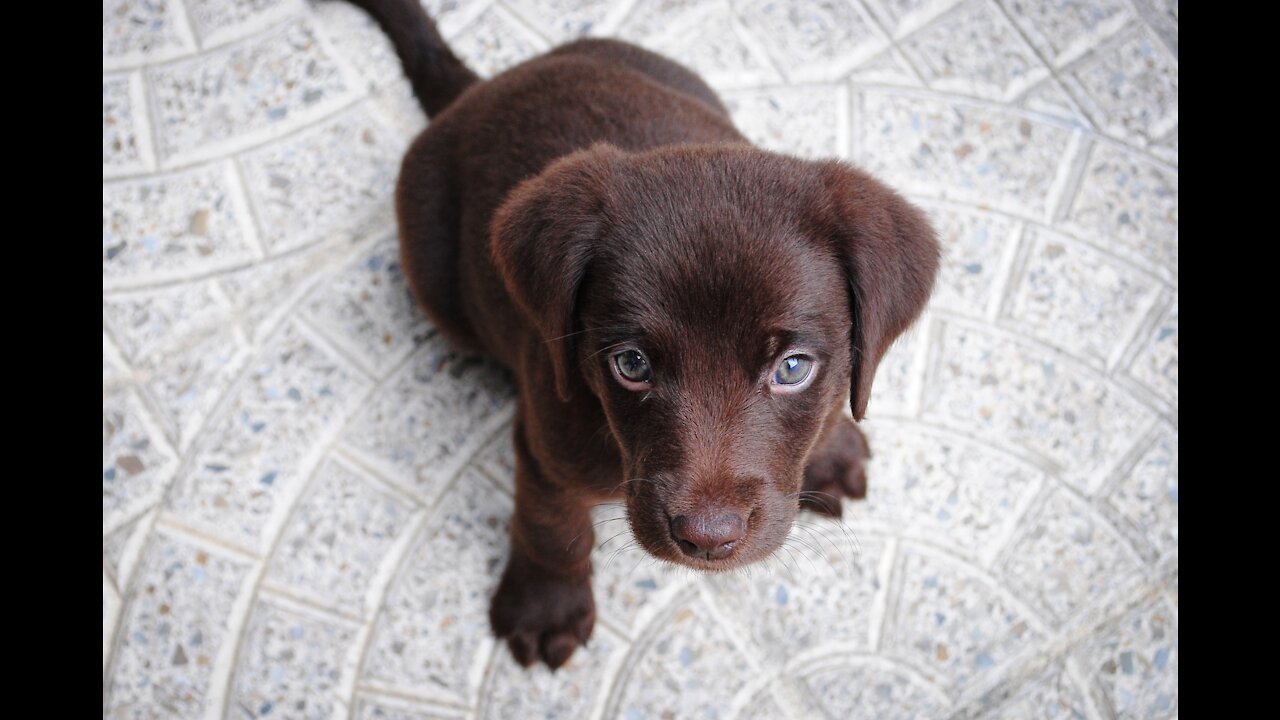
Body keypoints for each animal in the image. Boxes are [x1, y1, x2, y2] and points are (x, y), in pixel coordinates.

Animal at [350, 0, 942, 666]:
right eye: (631, 364)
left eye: (792, 367)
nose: (708, 539)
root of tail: (479, 89)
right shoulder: (546, 441)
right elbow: (552, 526)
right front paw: (545, 607)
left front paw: (831, 447)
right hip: (432, 272)